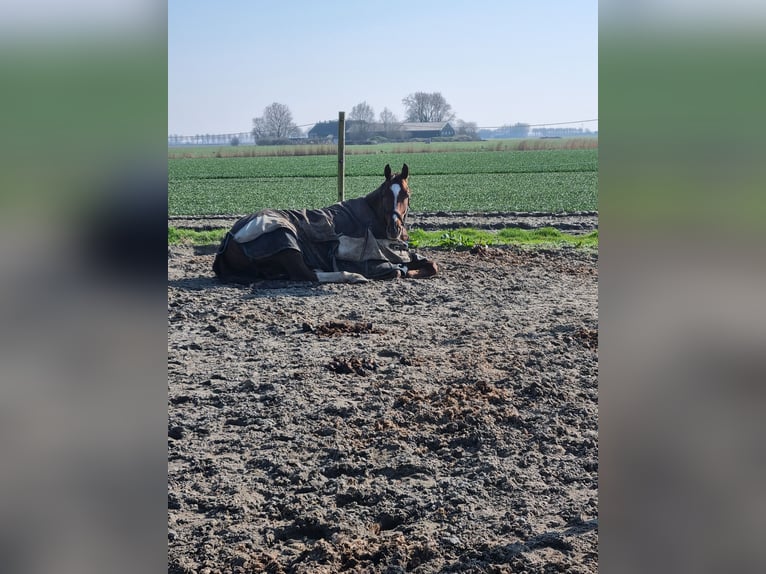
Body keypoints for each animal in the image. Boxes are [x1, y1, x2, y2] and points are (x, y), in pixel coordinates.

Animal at [212, 163, 438, 283]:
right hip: (285, 241)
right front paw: (403, 270)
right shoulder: (371, 263)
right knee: (306, 274)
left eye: (406, 194)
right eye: (385, 194)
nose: (394, 227)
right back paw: (352, 276)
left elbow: (431, 265)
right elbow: (396, 271)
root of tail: (231, 237)